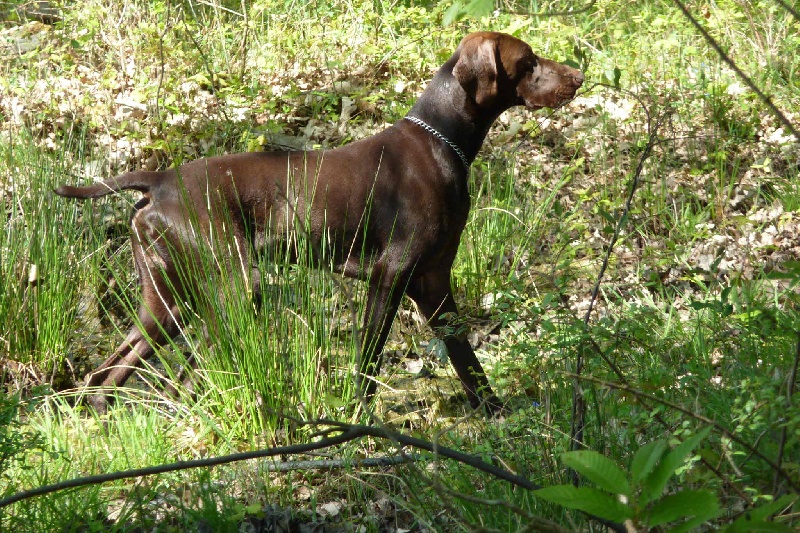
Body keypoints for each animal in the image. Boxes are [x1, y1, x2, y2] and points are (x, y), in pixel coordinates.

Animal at [54, 31, 580, 412]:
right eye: (528, 61)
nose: (578, 75)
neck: (441, 140)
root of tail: (160, 179)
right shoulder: (390, 275)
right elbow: (369, 357)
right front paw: (358, 415)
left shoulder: (433, 283)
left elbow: (466, 359)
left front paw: (495, 411)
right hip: (233, 286)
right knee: (184, 374)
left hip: (167, 302)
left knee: (108, 374)